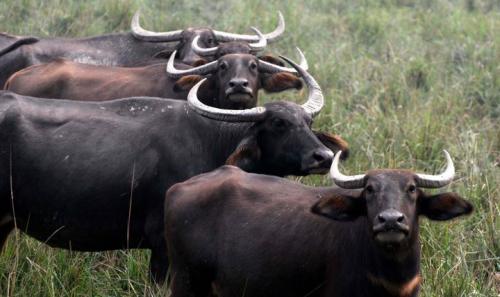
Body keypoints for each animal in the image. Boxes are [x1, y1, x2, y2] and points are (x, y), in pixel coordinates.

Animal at [167, 151, 472, 294]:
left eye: (412, 189)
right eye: (369, 190)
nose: (390, 220)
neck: (390, 276)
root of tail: (176, 189)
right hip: (186, 282)